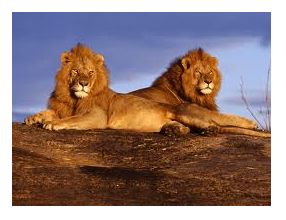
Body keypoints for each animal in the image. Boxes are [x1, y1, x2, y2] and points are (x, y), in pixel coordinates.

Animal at [24, 44, 270, 138]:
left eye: (90, 73)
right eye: (75, 71)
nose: (83, 83)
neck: (73, 97)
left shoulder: (97, 116)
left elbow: (71, 119)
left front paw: (52, 124)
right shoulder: (63, 107)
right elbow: (49, 112)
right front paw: (33, 118)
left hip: (187, 111)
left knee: (216, 122)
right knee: (196, 127)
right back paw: (178, 130)